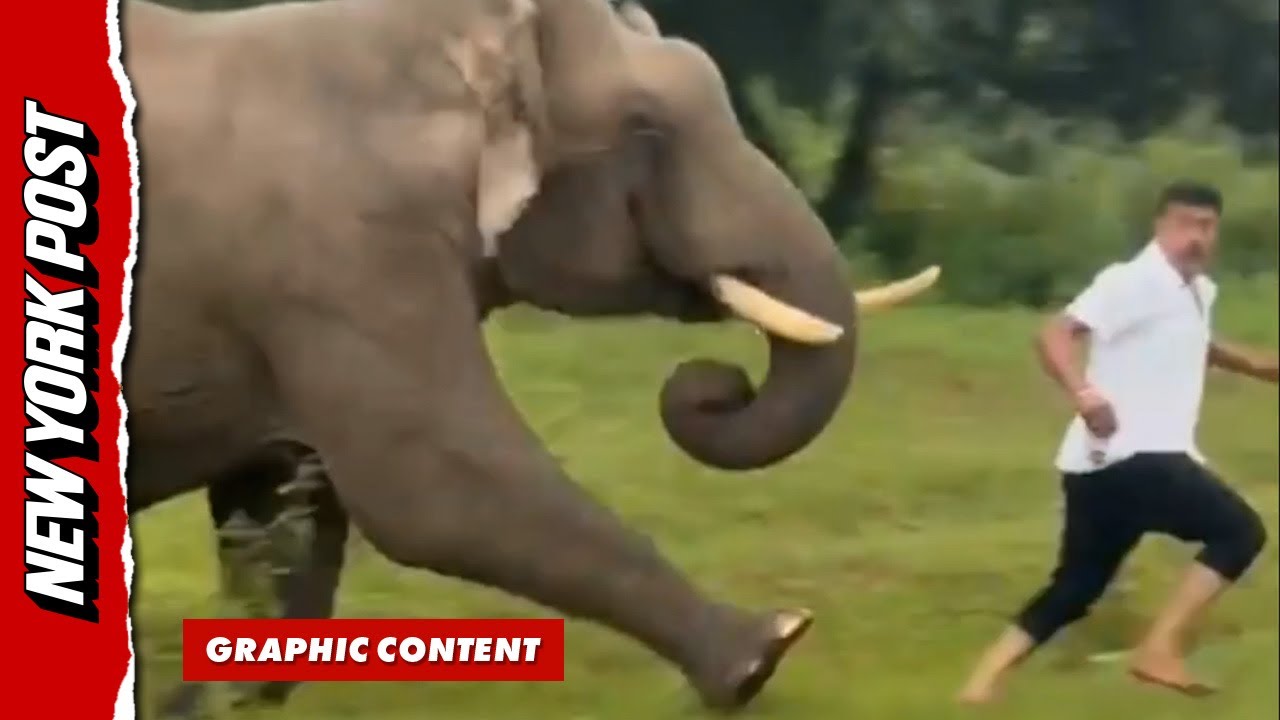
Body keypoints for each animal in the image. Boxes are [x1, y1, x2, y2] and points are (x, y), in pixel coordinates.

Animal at [123, 0, 939, 713]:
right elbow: (429, 488)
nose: (714, 384)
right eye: (644, 128)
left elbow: (282, 510)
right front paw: (764, 650)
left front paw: (199, 706)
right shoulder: (341, 254)